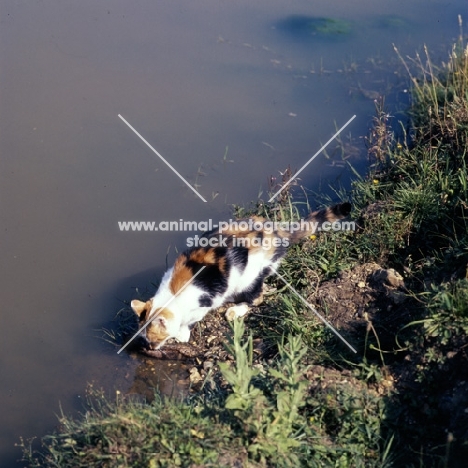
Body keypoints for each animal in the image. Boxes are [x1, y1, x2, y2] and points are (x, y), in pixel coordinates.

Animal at [130, 203, 350, 350]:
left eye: (155, 339)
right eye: (146, 340)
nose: (149, 348)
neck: (173, 293)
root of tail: (278, 231)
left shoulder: (204, 303)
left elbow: (191, 319)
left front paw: (182, 334)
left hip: (250, 277)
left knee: (257, 298)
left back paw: (235, 310)